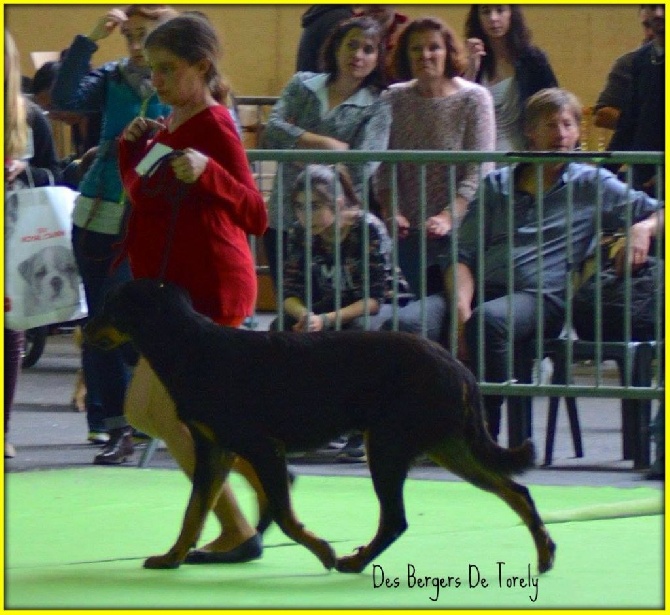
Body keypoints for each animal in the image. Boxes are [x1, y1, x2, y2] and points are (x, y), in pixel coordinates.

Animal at [85, 282, 556, 576]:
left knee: (396, 519)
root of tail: (457, 365)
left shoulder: (263, 447)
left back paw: (353, 561)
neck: (192, 348)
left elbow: (284, 516)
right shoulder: (214, 450)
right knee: (517, 491)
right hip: (448, 445)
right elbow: (194, 513)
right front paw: (172, 557)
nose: (82, 331)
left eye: (110, 305)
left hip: (387, 445)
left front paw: (323, 550)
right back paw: (546, 552)